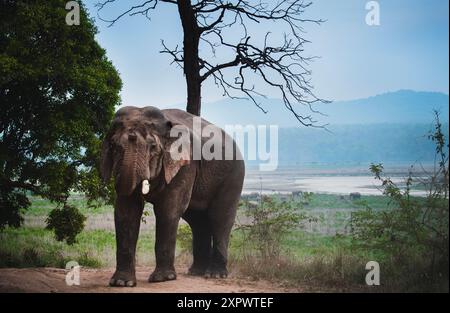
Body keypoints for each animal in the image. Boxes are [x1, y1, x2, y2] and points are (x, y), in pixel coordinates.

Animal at [100, 106, 244, 286]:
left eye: (153, 147)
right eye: (114, 146)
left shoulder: (185, 164)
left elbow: (168, 210)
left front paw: (162, 279)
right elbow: (127, 211)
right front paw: (121, 283)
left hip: (233, 175)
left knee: (220, 217)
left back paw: (215, 275)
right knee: (198, 222)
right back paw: (196, 272)